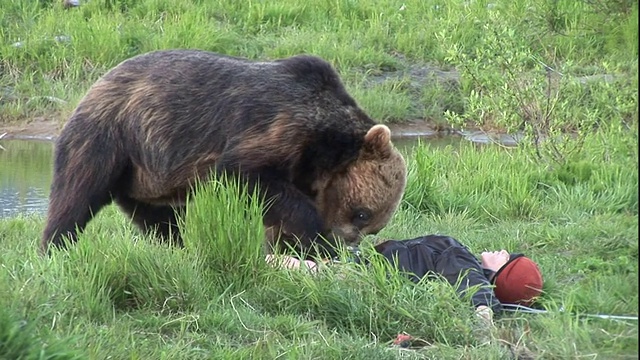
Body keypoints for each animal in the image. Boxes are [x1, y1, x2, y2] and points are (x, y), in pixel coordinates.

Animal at [41, 48, 404, 256]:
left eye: (373, 225)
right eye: (362, 213)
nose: (347, 243)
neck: (320, 150)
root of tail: (96, 85)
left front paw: (289, 245)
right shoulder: (275, 127)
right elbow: (245, 174)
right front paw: (312, 236)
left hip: (144, 177)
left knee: (159, 219)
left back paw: (178, 248)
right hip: (110, 137)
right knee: (77, 194)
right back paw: (55, 247)